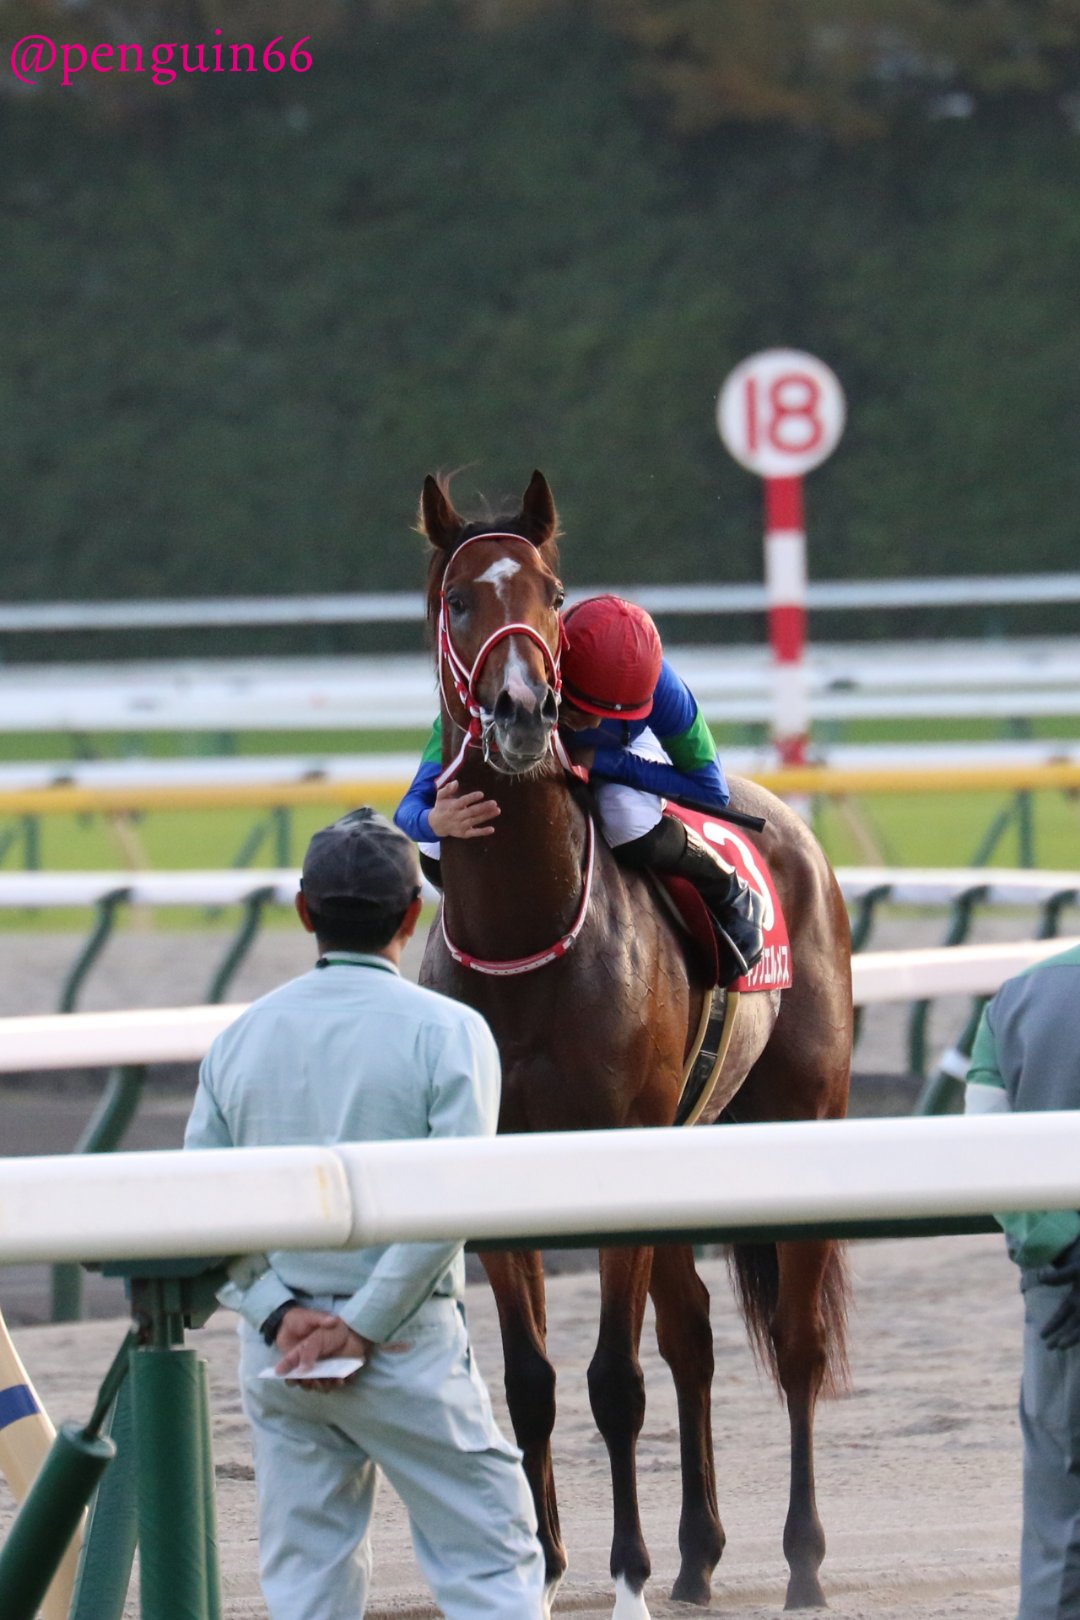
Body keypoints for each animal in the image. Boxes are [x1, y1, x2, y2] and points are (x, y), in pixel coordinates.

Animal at [414, 469, 852, 1619]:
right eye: (459, 599)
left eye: (554, 593)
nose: (525, 714)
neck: (524, 945)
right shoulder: (504, 1165)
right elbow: (530, 1383)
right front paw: (539, 1561)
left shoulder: (614, 1146)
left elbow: (615, 1380)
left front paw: (627, 1572)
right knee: (693, 1333)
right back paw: (701, 1553)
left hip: (802, 1116)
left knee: (795, 1346)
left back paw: (800, 1560)